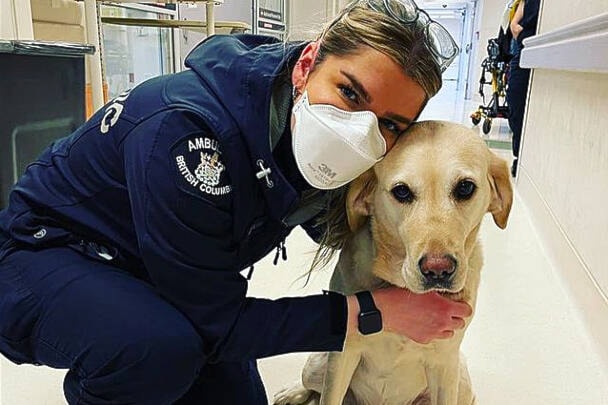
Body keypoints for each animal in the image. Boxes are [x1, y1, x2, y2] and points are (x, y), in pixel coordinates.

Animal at [274, 120, 512, 404]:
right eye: (401, 191)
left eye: (465, 188)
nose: (438, 270)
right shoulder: (342, 355)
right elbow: (329, 397)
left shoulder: (444, 363)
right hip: (317, 363)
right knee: (312, 386)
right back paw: (292, 391)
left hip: (461, 381)